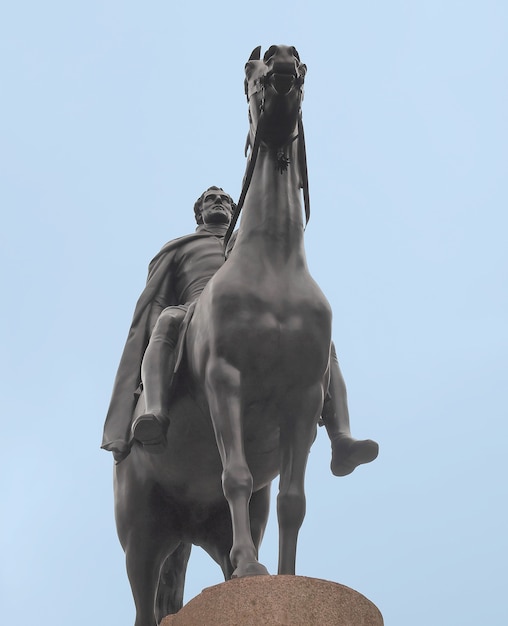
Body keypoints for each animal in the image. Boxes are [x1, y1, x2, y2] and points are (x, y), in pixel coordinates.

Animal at [116, 46, 334, 624]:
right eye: (249, 72)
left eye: (303, 65)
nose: (281, 61)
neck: (272, 265)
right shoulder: (224, 380)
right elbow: (233, 473)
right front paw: (256, 569)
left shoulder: (304, 397)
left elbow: (293, 501)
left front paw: (285, 580)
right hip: (141, 533)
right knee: (146, 606)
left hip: (201, 531)